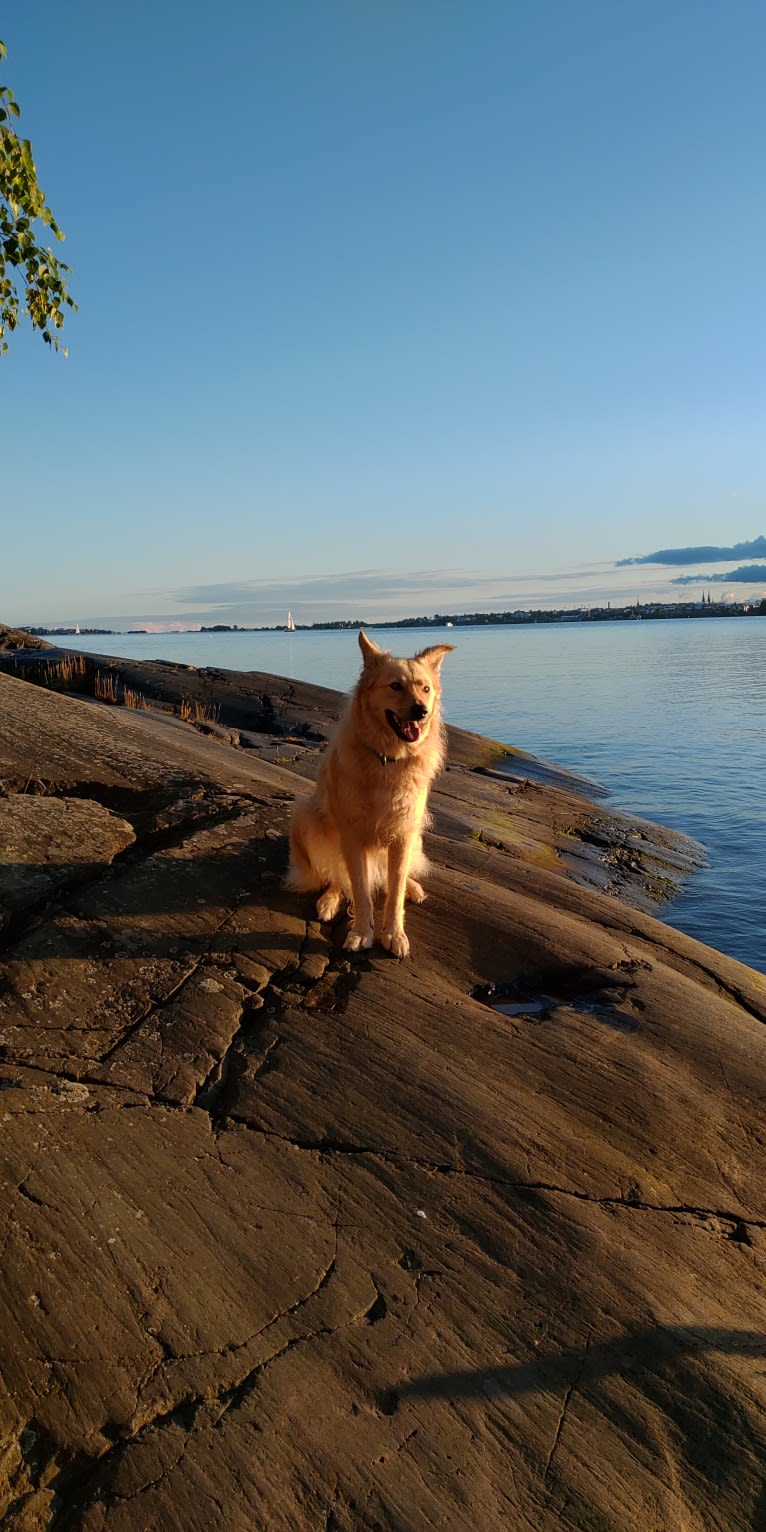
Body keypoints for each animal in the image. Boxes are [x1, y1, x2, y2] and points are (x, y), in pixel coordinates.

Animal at [288, 628, 453, 949]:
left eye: (425, 688)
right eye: (395, 686)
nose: (421, 711)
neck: (387, 761)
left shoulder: (403, 833)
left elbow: (395, 890)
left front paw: (394, 933)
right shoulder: (352, 836)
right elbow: (360, 890)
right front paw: (362, 932)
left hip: (416, 835)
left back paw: (413, 887)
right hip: (308, 818)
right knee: (336, 876)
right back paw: (329, 900)